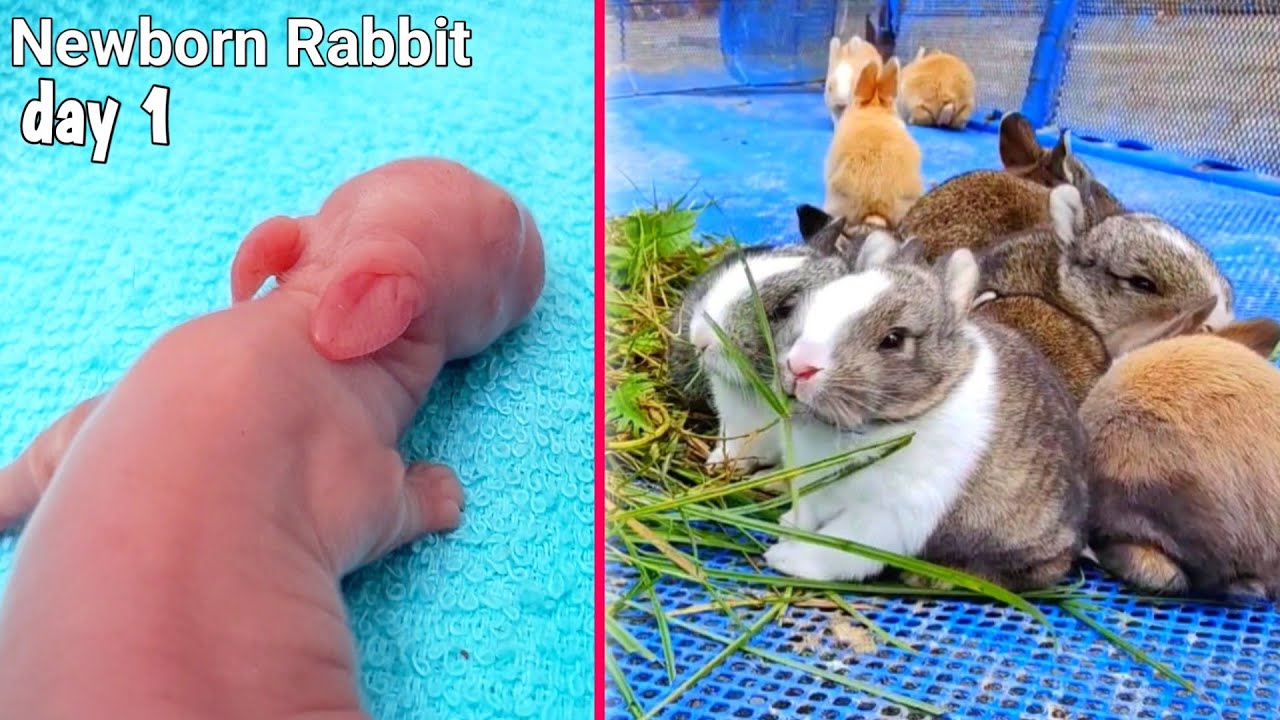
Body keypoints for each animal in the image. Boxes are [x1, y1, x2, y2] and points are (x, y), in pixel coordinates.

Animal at [761, 235, 1087, 590]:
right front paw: (786, 526)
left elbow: (838, 546)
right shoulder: (815, 492)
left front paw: (784, 559)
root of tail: (1076, 538)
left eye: (893, 339)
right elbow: (807, 515)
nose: (799, 366)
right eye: (815, 304)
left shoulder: (886, 515)